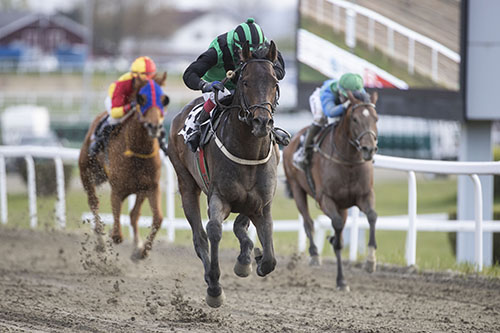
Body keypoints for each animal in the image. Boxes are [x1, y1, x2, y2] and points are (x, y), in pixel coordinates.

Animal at [79, 74, 170, 258]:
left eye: (164, 99)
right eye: (141, 99)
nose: (154, 126)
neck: (137, 151)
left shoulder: (151, 186)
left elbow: (157, 218)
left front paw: (142, 251)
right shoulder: (117, 189)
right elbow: (117, 233)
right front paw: (112, 238)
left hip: (140, 189)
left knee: (134, 214)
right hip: (86, 173)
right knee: (94, 203)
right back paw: (101, 243)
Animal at [168, 40, 282, 306]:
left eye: (274, 82)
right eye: (245, 81)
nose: (262, 122)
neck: (249, 153)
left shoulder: (262, 203)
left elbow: (269, 258)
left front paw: (253, 259)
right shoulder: (218, 196)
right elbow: (214, 231)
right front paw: (214, 287)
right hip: (186, 183)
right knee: (199, 237)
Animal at [284, 89, 376, 290]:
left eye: (376, 118)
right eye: (355, 119)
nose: (369, 149)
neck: (349, 161)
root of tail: (294, 137)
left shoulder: (363, 195)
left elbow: (372, 216)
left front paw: (370, 261)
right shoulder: (325, 199)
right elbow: (337, 229)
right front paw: (341, 280)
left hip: (343, 206)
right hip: (296, 188)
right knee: (308, 222)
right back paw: (314, 255)